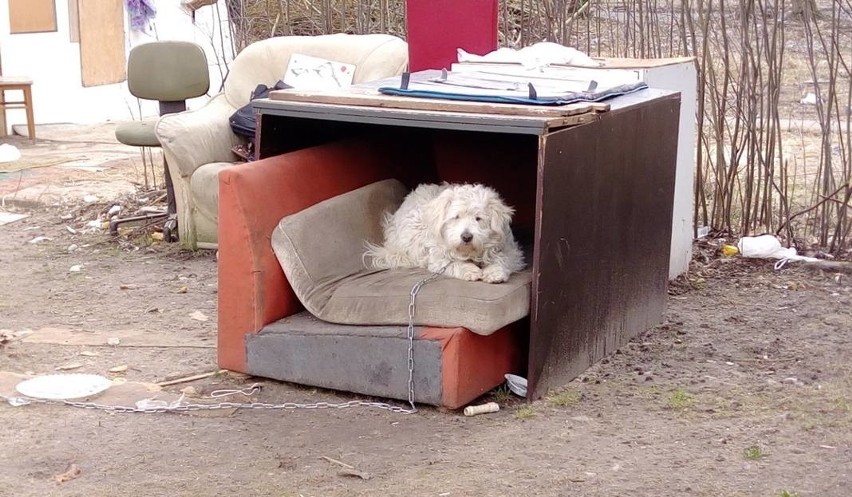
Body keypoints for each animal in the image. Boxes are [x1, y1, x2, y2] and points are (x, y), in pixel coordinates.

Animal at [366, 182, 524, 282]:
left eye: (478, 218)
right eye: (456, 217)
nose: (466, 237)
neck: (470, 253)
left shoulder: (511, 251)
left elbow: (502, 258)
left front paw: (493, 272)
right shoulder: (438, 257)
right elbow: (452, 263)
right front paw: (469, 270)